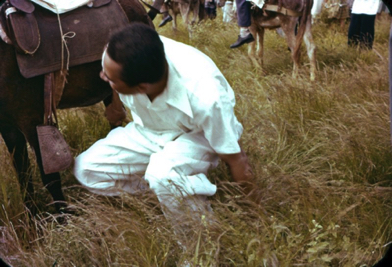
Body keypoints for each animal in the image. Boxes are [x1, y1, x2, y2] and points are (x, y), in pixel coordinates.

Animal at [0, 0, 152, 216]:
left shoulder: (31, 119)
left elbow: (50, 177)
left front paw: (64, 220)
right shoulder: (8, 125)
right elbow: (23, 175)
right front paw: (33, 220)